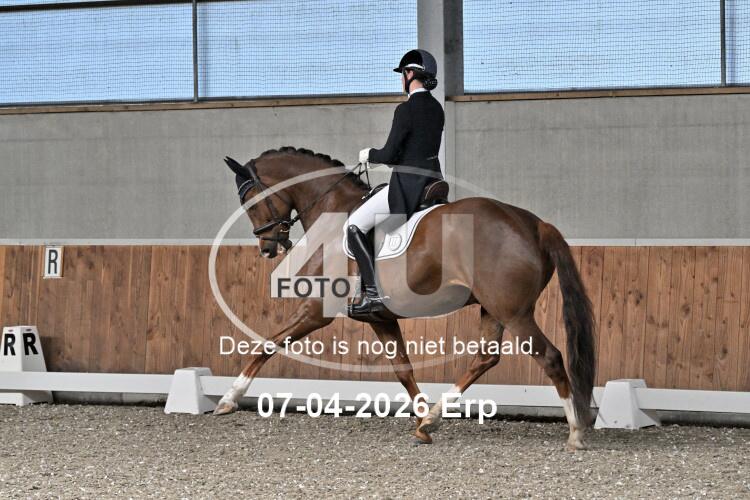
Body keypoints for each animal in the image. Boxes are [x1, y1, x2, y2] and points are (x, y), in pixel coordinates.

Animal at [216, 146, 596, 451]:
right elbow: (403, 369)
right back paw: (434, 420)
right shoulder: (380, 317)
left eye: (249, 200)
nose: (268, 248)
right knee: (485, 358)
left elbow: (267, 343)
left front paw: (229, 399)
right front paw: (422, 418)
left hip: (515, 312)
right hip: (494, 309)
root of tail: (534, 224)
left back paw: (576, 432)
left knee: (550, 357)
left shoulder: (316, 310)